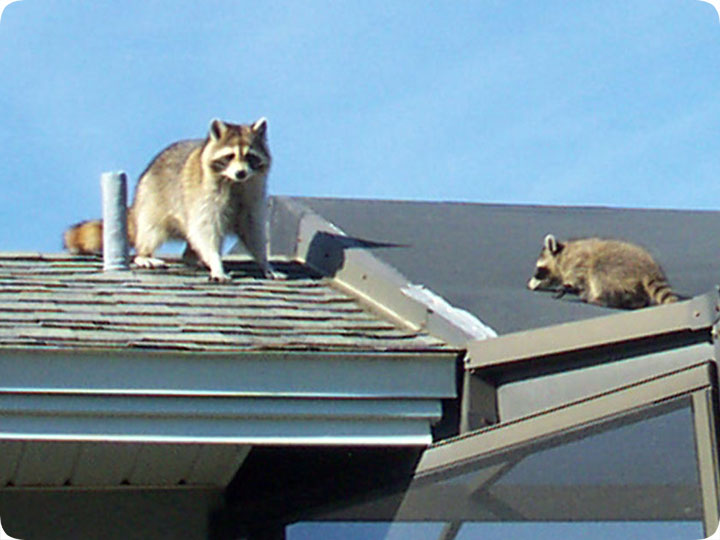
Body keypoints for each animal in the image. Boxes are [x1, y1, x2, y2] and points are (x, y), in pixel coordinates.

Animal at [63, 116, 272, 280]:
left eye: (250, 156)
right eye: (229, 156)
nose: (241, 173)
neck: (234, 183)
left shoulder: (252, 194)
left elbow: (252, 229)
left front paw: (264, 262)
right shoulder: (204, 195)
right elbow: (206, 230)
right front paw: (215, 262)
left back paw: (191, 257)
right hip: (151, 201)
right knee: (152, 231)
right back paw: (144, 254)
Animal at [524, 235, 676, 310]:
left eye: (538, 270)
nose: (529, 285)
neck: (561, 255)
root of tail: (649, 268)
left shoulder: (578, 262)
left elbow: (579, 278)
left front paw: (567, 287)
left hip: (616, 267)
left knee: (600, 274)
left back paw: (603, 299)